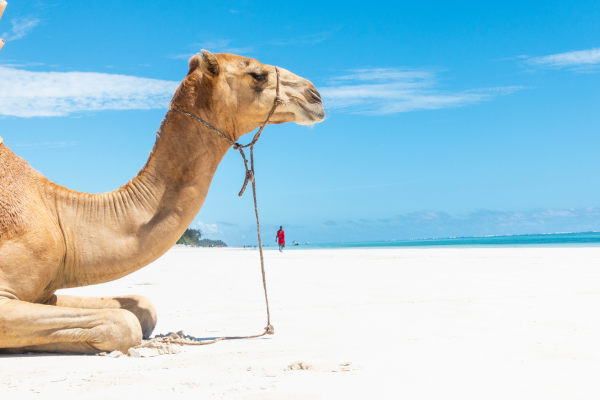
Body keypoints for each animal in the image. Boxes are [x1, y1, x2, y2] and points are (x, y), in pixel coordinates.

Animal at [0, 49, 326, 354]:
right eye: (258, 74)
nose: (316, 96)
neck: (59, 215)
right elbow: (125, 323)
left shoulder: (49, 292)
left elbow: (142, 308)